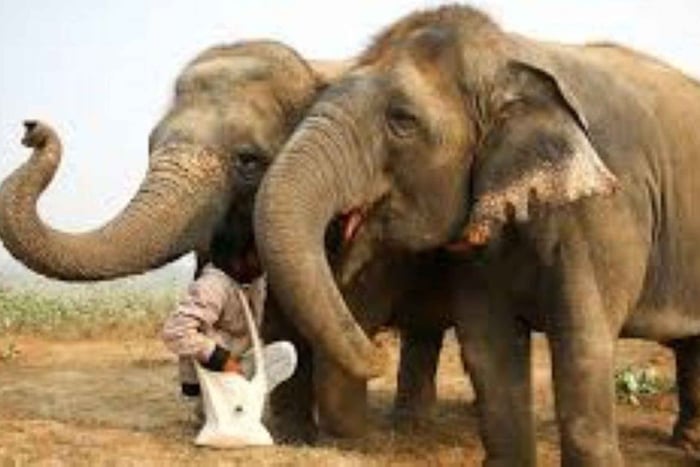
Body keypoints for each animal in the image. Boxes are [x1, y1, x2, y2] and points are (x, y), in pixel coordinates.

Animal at [254, 4, 700, 465]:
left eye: (402, 121)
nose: (378, 352)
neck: (510, 57)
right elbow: (489, 347)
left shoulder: (603, 210)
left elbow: (582, 343)